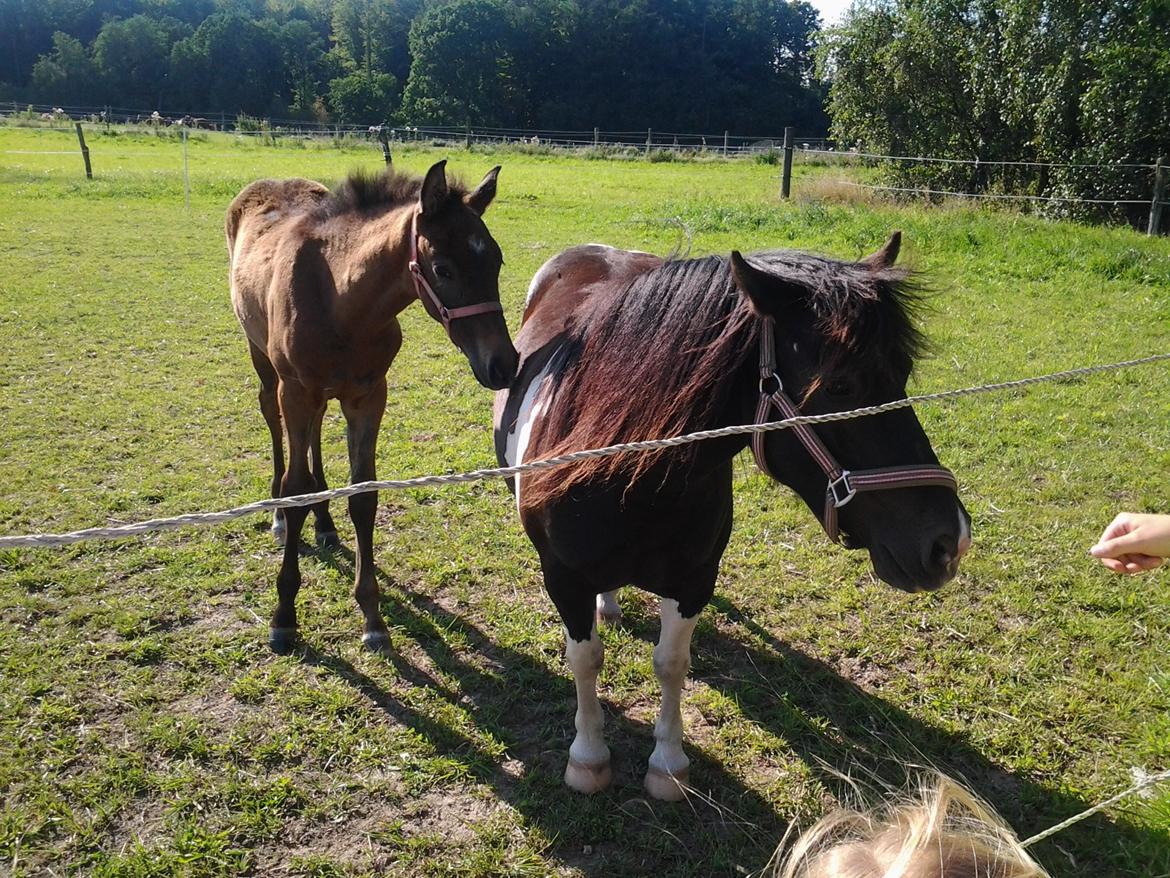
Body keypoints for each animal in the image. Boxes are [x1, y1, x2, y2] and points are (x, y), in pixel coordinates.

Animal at [226, 161, 517, 655]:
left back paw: (324, 524)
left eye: (495, 261)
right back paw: (280, 516)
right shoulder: (296, 391)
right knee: (272, 420)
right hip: (264, 361)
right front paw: (284, 617)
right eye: (442, 268)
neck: (338, 298)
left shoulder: (368, 395)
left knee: (316, 434)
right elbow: (296, 488)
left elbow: (363, 495)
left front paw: (373, 616)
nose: (503, 364)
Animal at [493, 237, 968, 800]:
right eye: (839, 387)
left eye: (903, 373)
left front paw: (668, 765)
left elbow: (671, 664)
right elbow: (586, 661)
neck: (625, 478)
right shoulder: (563, 580)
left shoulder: (694, 579)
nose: (950, 541)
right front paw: (588, 758)